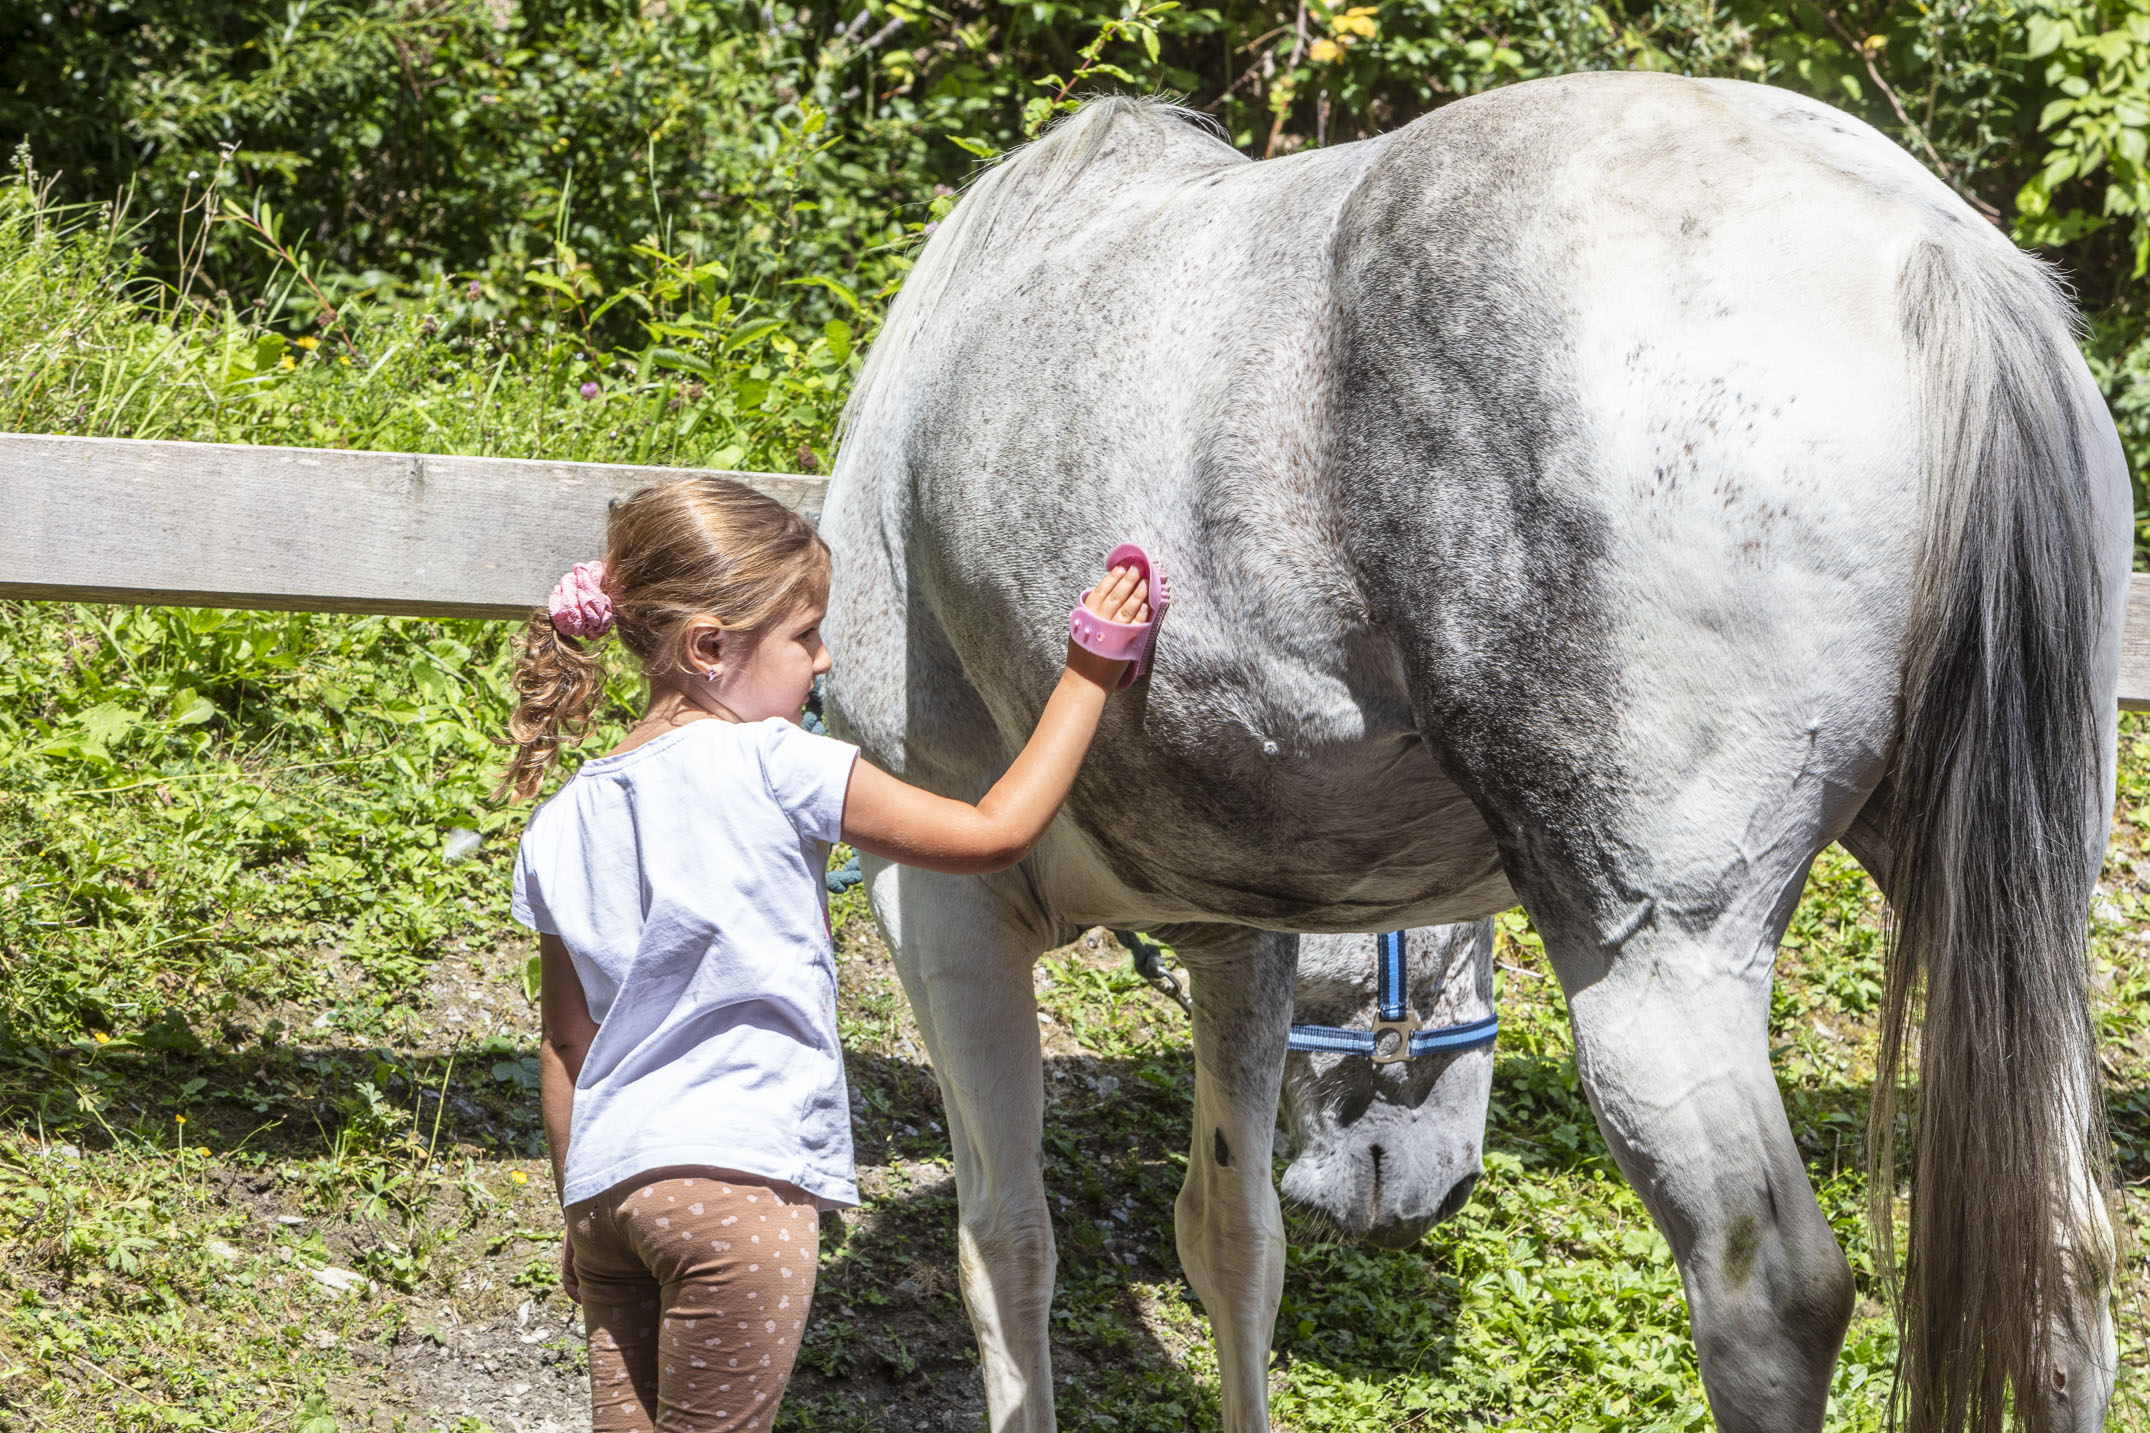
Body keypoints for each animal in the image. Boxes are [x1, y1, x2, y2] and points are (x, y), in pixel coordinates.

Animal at [822, 73, 2129, 1433]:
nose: (1426, 1187)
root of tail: (1924, 246)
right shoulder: (1239, 937)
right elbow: (1229, 1238)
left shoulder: (942, 904)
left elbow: (1005, 1247)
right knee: (2064, 1264)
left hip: (1660, 961)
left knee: (1769, 1299)